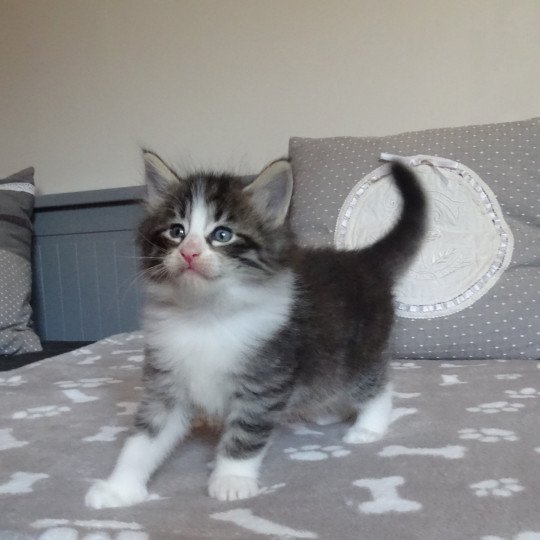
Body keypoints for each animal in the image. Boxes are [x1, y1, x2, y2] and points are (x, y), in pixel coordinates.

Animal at [85, 150, 426, 508]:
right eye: (177, 231)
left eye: (222, 234)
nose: (189, 252)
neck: (205, 315)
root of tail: (362, 259)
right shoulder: (166, 383)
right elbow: (143, 439)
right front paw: (119, 486)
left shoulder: (264, 383)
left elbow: (245, 434)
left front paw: (231, 479)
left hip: (360, 353)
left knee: (378, 386)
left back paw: (369, 427)